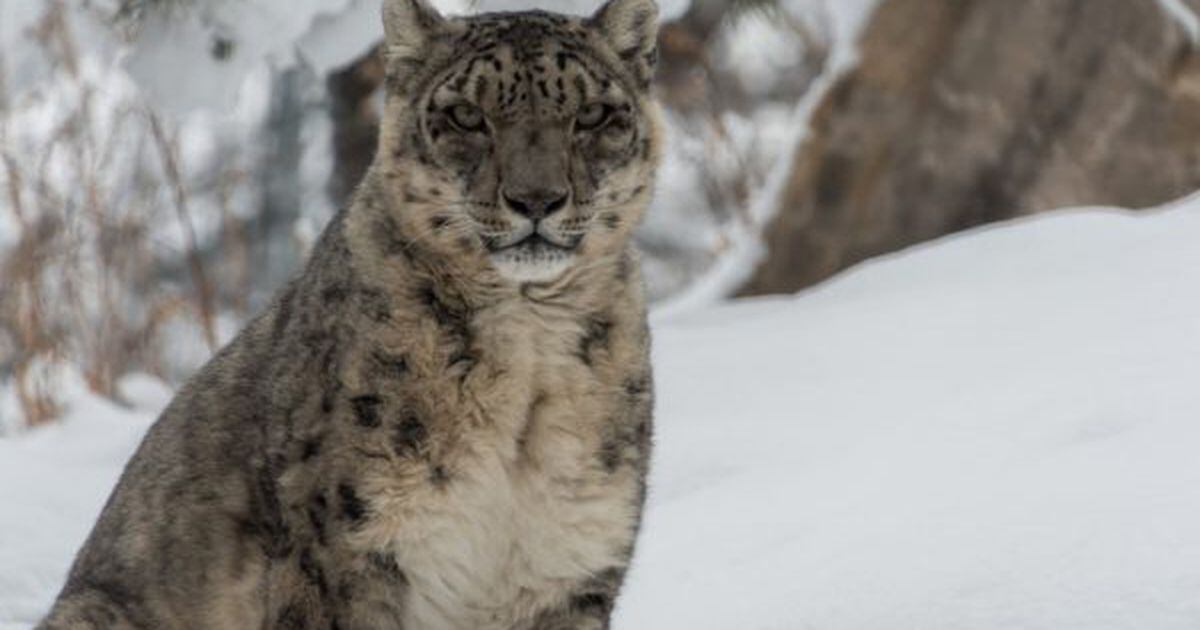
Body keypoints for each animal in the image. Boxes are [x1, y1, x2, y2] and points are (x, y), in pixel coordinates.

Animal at [37, 0, 663, 628]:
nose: (537, 199)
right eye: (465, 115)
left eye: (593, 114)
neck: (531, 344)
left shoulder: (570, 558)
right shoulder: (347, 549)